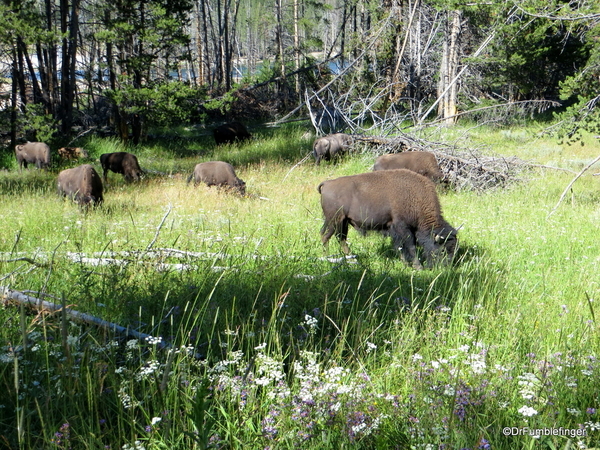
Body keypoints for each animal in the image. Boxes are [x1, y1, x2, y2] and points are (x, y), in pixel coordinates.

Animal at [316, 168, 458, 268]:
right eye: (443, 250)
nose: (447, 267)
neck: (415, 197)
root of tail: (326, 184)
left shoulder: (393, 228)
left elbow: (399, 246)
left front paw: (405, 264)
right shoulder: (402, 227)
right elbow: (410, 247)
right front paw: (418, 267)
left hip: (342, 222)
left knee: (340, 239)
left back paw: (352, 259)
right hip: (335, 221)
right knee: (326, 237)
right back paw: (327, 257)